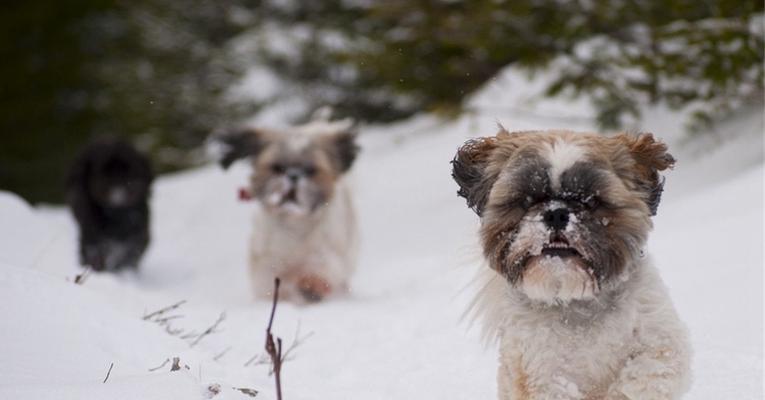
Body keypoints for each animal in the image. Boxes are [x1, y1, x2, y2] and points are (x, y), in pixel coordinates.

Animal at [67, 138, 154, 272]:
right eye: (104, 175)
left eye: (129, 173)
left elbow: (133, 247)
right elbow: (94, 250)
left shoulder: (139, 229)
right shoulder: (91, 231)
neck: (116, 217)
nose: (118, 194)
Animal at [215, 115, 358, 304]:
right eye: (277, 168)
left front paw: (311, 286)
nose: (293, 175)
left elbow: (321, 270)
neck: (294, 224)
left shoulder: (325, 254)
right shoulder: (267, 263)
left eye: (310, 170)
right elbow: (271, 284)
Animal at [450, 128, 688, 400]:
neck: (574, 299)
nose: (556, 213)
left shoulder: (659, 337)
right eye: (526, 199)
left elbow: (650, 370)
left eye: (592, 201)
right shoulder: (543, 374)